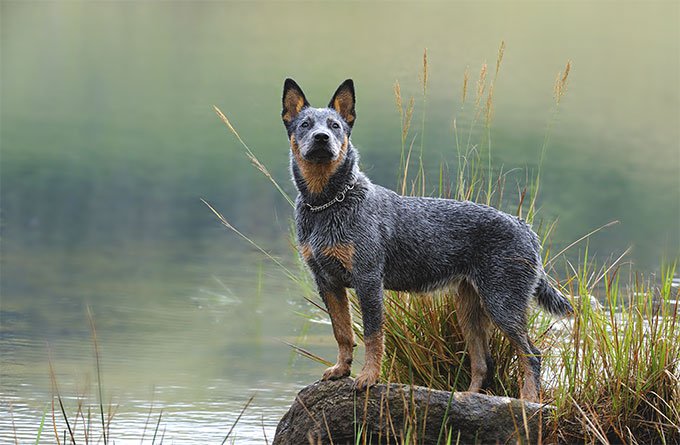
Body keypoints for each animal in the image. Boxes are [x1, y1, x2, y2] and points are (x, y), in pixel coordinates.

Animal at [282, 78, 572, 400]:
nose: (321, 138)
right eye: (305, 124)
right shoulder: (327, 281)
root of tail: (526, 228)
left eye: (335, 126)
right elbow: (342, 331)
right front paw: (341, 370)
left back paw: (528, 401)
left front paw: (368, 376)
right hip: (470, 309)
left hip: (502, 303)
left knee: (531, 354)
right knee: (483, 362)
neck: (327, 204)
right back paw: (466, 397)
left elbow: (372, 335)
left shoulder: (368, 280)